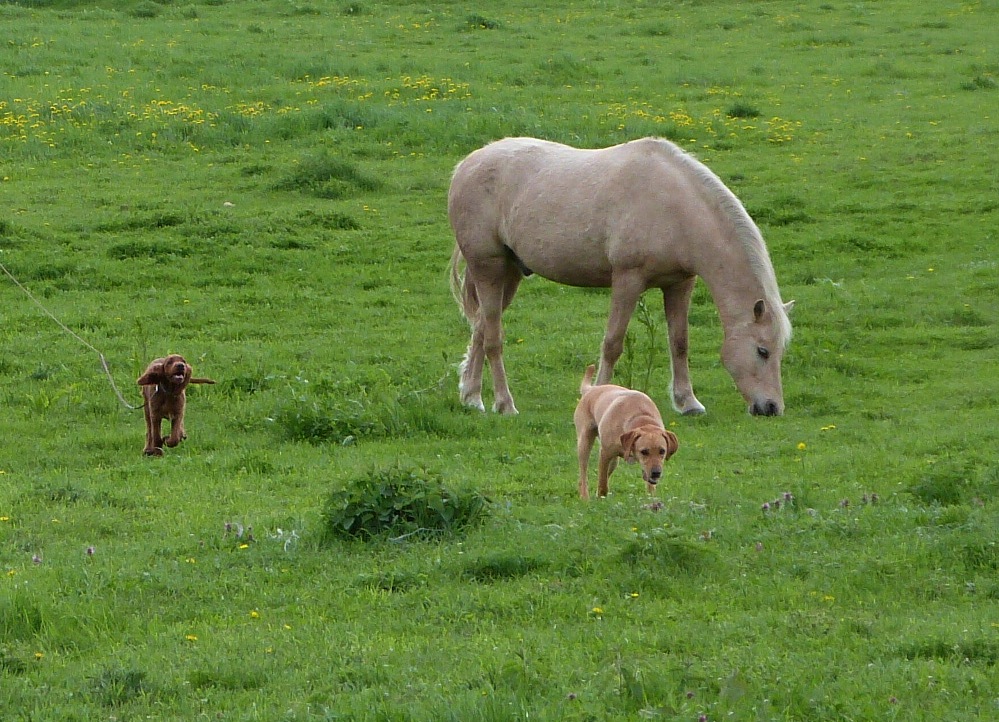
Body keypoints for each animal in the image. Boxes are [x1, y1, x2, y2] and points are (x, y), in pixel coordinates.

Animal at [450, 136, 792, 416]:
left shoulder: (680, 283)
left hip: (509, 274)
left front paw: (688, 403)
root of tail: (466, 165)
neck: (674, 207)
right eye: (762, 351)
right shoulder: (628, 280)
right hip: (489, 269)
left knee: (481, 327)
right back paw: (504, 404)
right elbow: (612, 343)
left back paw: (472, 397)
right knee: (493, 338)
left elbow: (679, 342)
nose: (771, 407)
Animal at [572, 362, 680, 498]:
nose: (656, 473)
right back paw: (585, 497)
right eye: (644, 451)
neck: (641, 417)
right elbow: (602, 484)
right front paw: (601, 497)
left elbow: (650, 486)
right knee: (583, 475)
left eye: (662, 451)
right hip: (584, 443)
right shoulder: (605, 453)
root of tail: (591, 389)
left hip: (614, 461)